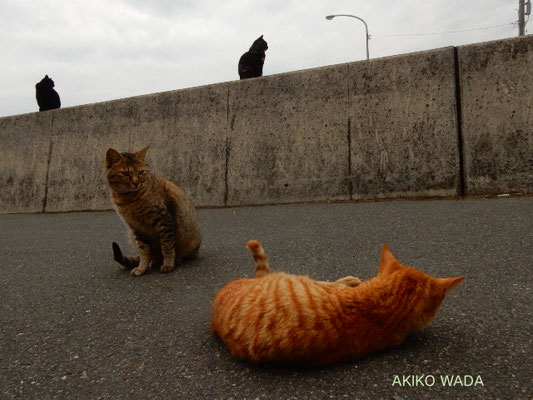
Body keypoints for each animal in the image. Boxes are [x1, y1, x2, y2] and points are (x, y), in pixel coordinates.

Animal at [104, 147, 202, 276]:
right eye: (126, 173)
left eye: (140, 172)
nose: (136, 182)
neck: (129, 200)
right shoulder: (137, 228)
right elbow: (144, 251)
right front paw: (142, 268)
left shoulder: (164, 221)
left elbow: (167, 247)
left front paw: (168, 264)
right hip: (131, 233)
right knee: (152, 255)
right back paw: (154, 261)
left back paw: (177, 259)